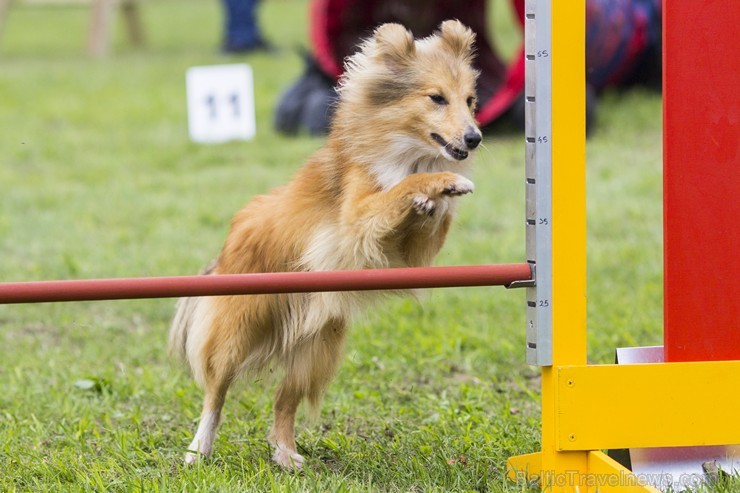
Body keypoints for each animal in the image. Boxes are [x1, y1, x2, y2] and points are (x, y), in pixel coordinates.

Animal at [168, 18, 482, 466]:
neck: (408, 152)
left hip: (317, 348)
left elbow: (431, 223)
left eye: (471, 100)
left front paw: (437, 200)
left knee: (284, 402)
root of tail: (227, 245)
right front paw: (441, 183)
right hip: (237, 330)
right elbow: (399, 190)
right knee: (216, 392)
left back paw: (285, 455)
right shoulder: (358, 218)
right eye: (437, 98)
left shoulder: (412, 254)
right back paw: (198, 450)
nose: (475, 138)